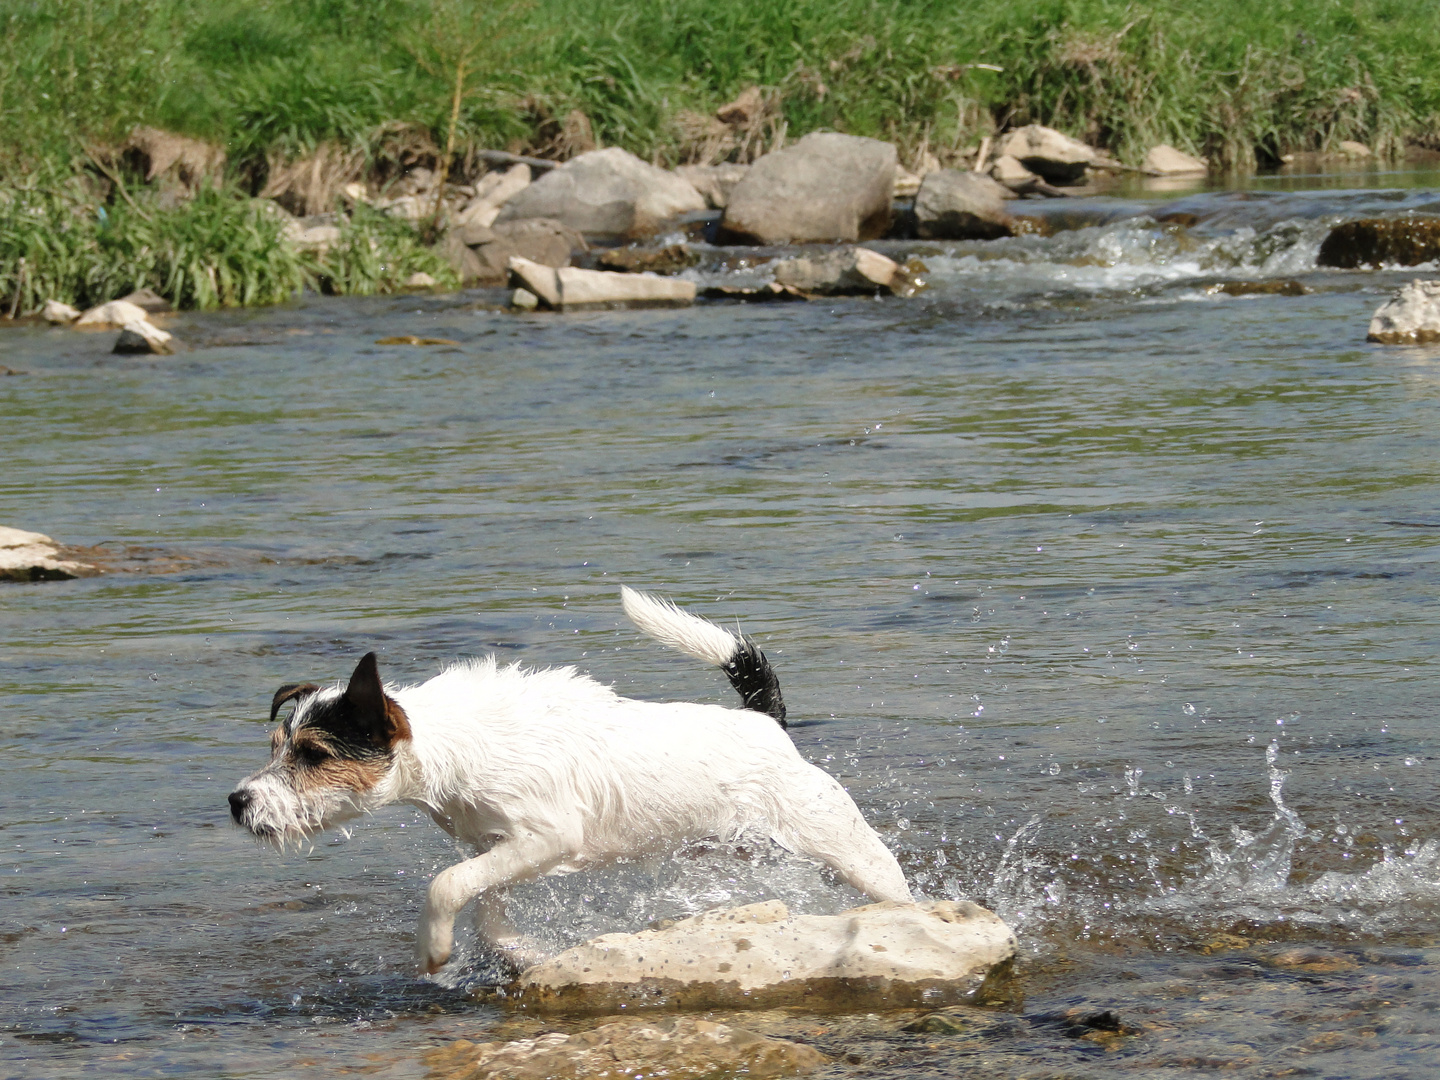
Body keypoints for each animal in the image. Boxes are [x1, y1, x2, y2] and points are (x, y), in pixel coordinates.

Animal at [234, 587, 910, 979]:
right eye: (275, 749)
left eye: (314, 754)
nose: (238, 802)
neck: (454, 746)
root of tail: (764, 724)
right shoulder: (497, 848)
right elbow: (485, 910)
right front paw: (526, 953)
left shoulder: (550, 837)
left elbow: (445, 885)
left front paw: (432, 946)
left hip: (844, 842)